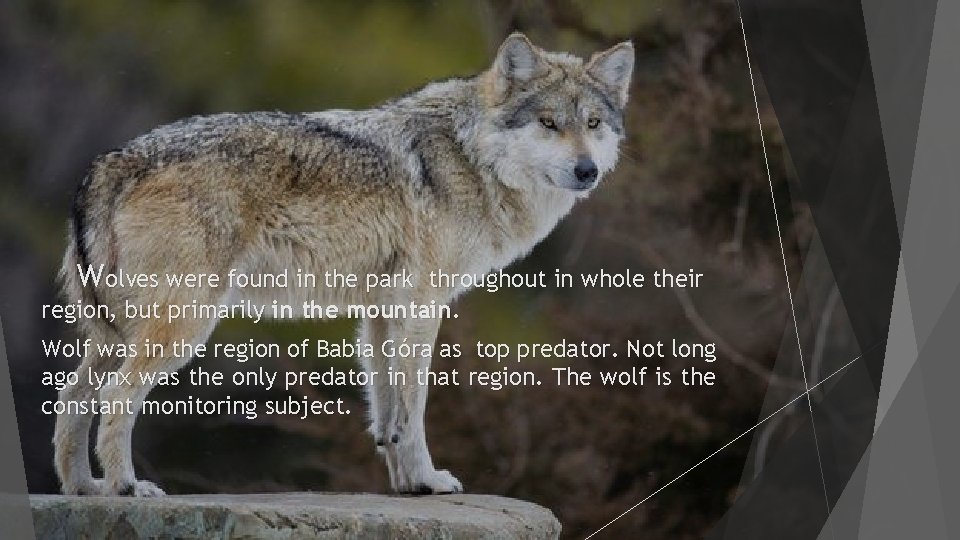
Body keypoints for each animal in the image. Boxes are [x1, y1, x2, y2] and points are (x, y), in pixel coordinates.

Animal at [55, 33, 634, 496]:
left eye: (593, 124)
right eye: (548, 123)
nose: (587, 170)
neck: (472, 157)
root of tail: (112, 160)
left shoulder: (380, 313)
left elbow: (387, 415)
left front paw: (406, 486)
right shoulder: (421, 308)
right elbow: (413, 408)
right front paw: (429, 479)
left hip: (114, 334)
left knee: (70, 399)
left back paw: (85, 489)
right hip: (182, 327)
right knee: (113, 398)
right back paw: (126, 487)